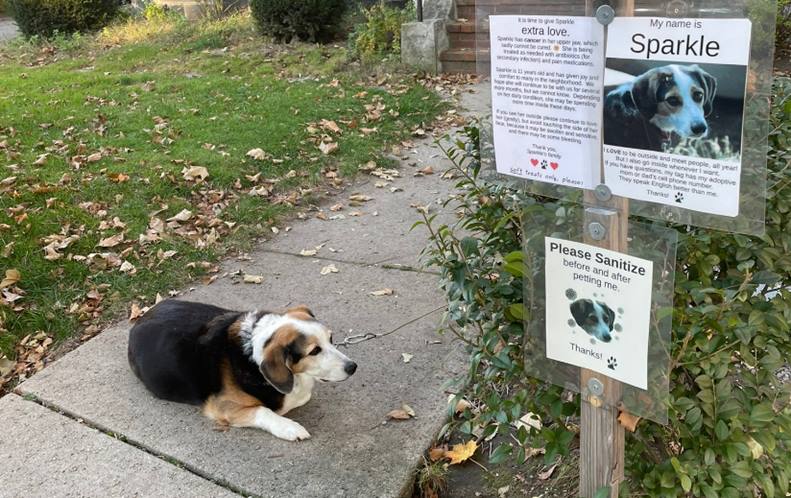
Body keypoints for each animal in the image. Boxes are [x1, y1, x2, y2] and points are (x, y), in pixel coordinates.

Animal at [128, 300, 358, 440]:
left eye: (331, 339)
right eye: (314, 351)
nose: (352, 367)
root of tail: (139, 319)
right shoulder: (222, 406)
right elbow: (264, 411)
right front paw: (289, 427)